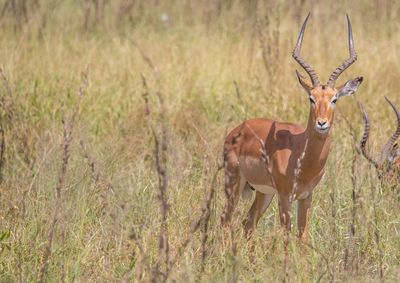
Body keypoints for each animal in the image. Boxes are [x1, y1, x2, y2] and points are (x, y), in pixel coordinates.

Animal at [220, 14, 364, 241]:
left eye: (334, 99)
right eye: (311, 98)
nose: (321, 123)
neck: (301, 155)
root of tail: (237, 130)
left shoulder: (306, 197)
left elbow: (302, 236)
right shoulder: (285, 197)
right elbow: (286, 237)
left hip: (264, 193)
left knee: (248, 223)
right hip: (234, 185)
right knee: (225, 221)